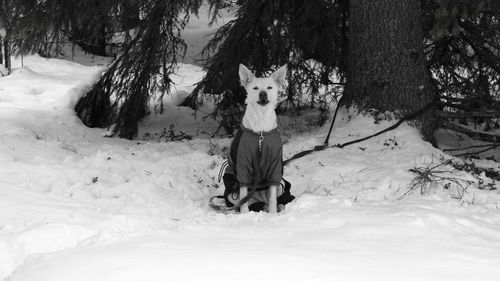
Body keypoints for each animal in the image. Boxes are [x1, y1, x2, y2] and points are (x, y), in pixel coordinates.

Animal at [226, 63, 286, 212]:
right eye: (255, 88)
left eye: (269, 87)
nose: (263, 94)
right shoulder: (243, 163)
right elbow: (243, 195)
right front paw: (245, 214)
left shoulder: (275, 164)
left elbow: (272, 196)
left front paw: (272, 213)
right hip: (232, 194)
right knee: (241, 200)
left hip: (280, 187)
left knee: (270, 199)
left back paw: (275, 207)